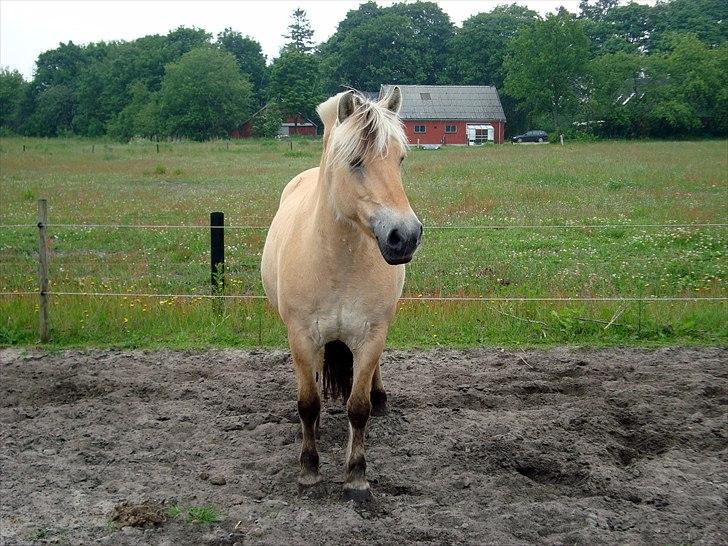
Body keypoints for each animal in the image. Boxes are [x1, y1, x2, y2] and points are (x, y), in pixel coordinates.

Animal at [260, 87, 420, 500]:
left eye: (400, 159)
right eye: (355, 161)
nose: (405, 236)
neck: (338, 263)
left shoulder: (370, 336)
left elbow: (357, 408)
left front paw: (356, 476)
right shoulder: (301, 336)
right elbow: (308, 403)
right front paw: (309, 469)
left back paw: (381, 400)